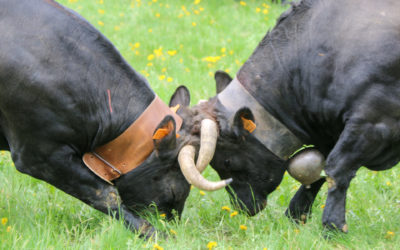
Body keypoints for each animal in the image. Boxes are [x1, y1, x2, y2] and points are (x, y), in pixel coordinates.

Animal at [177, 0, 400, 231]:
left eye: (228, 162)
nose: (241, 206)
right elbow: (314, 170)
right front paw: (296, 214)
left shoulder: (373, 122)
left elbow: (336, 169)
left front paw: (333, 226)